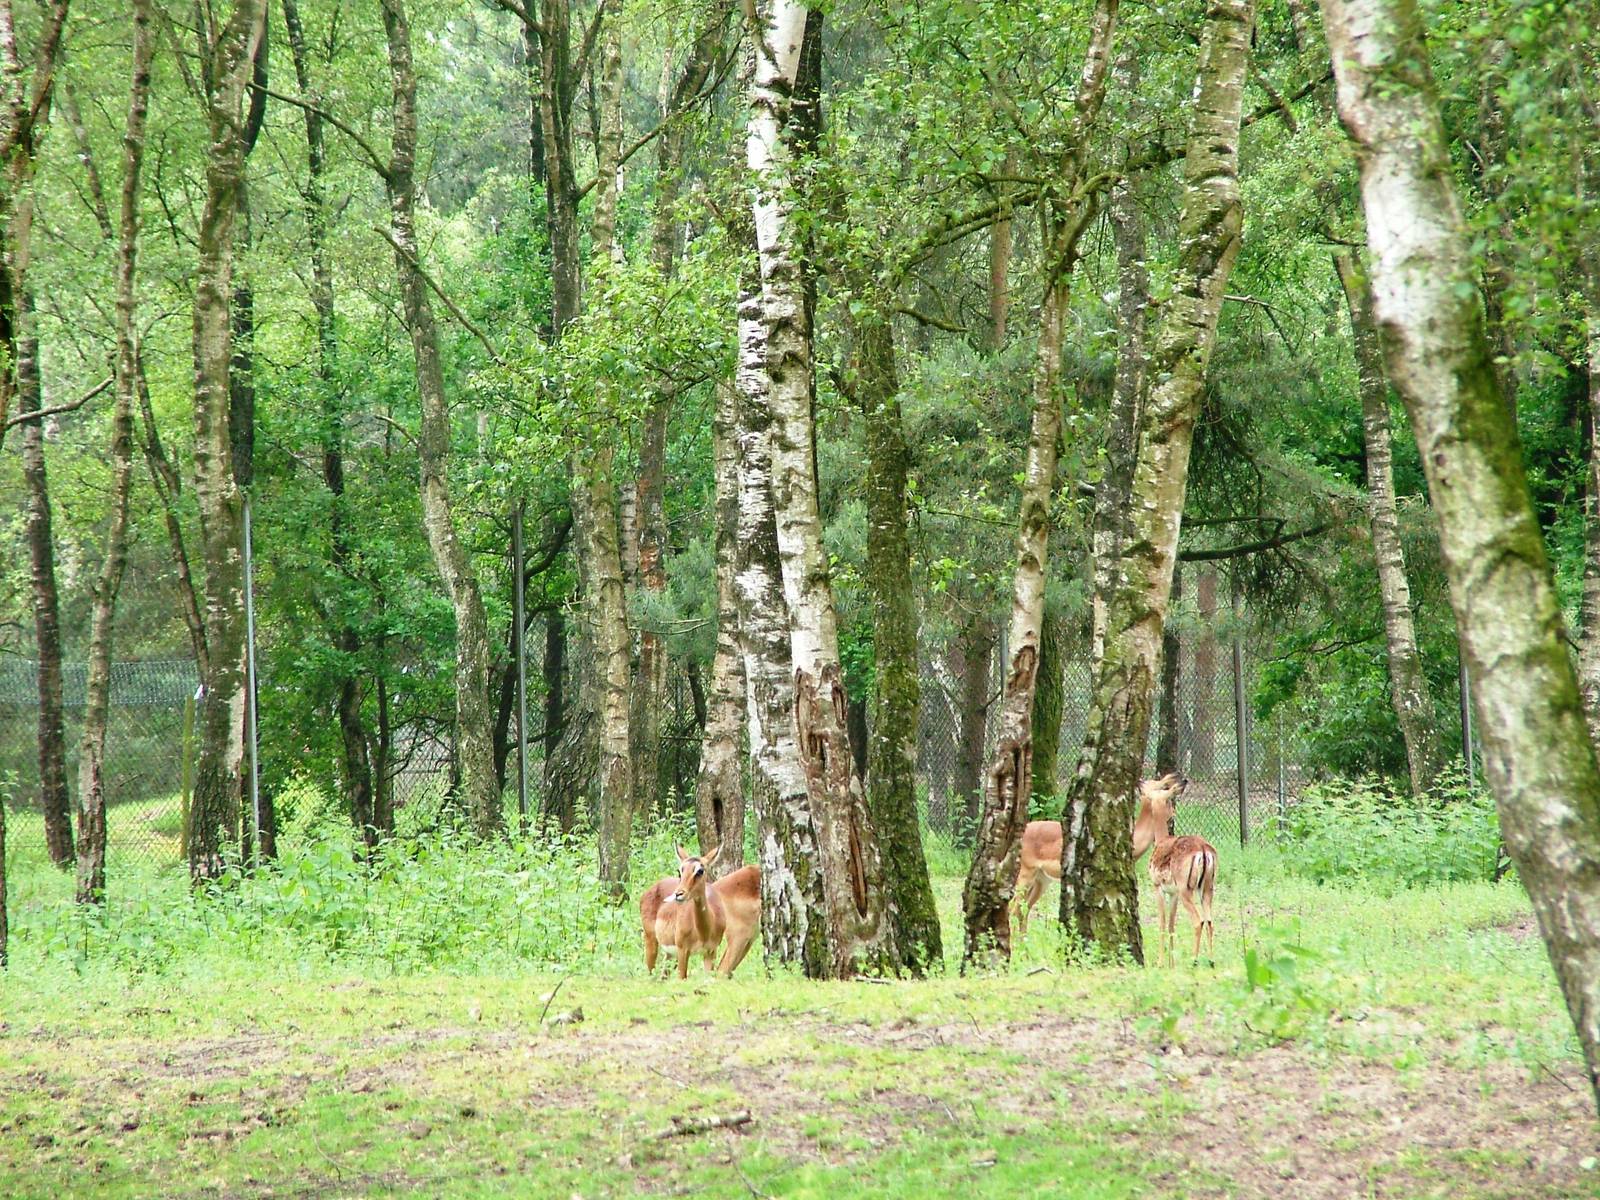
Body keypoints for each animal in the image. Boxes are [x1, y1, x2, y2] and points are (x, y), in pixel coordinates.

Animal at [638, 846, 761, 979]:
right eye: (680, 870)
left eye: (700, 871)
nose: (678, 894)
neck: (702, 933)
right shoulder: (683, 950)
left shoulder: (710, 952)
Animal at [1133, 773, 1217, 965]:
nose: (1140, 781)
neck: (1161, 840)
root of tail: (1203, 850)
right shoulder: (1173, 893)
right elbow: (1172, 924)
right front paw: (1171, 963)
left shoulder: (1158, 886)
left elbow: (1162, 922)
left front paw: (1160, 962)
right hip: (1206, 888)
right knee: (1209, 921)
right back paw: (1210, 961)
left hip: (1187, 889)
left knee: (1198, 921)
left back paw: (1194, 960)